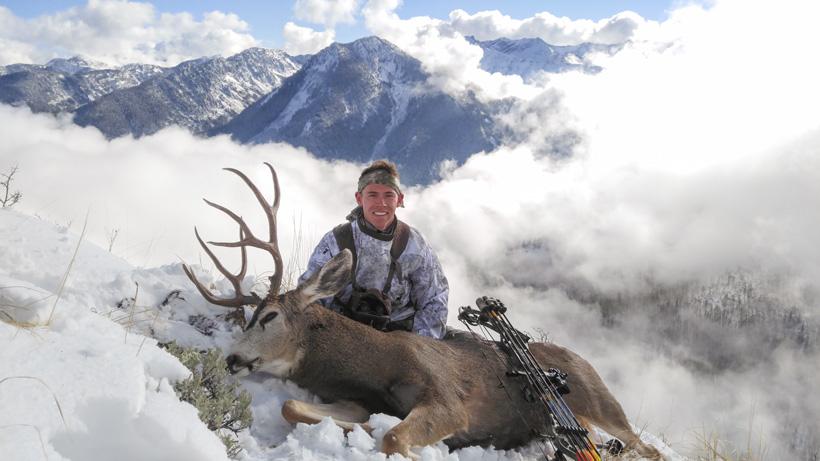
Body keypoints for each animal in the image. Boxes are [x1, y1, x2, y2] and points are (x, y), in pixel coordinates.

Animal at [182, 163, 663, 460]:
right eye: (248, 318)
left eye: (270, 317)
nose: (232, 358)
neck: (372, 365)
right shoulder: (357, 400)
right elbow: (293, 408)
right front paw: (361, 431)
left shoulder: (448, 399)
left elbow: (395, 436)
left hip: (600, 401)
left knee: (647, 446)